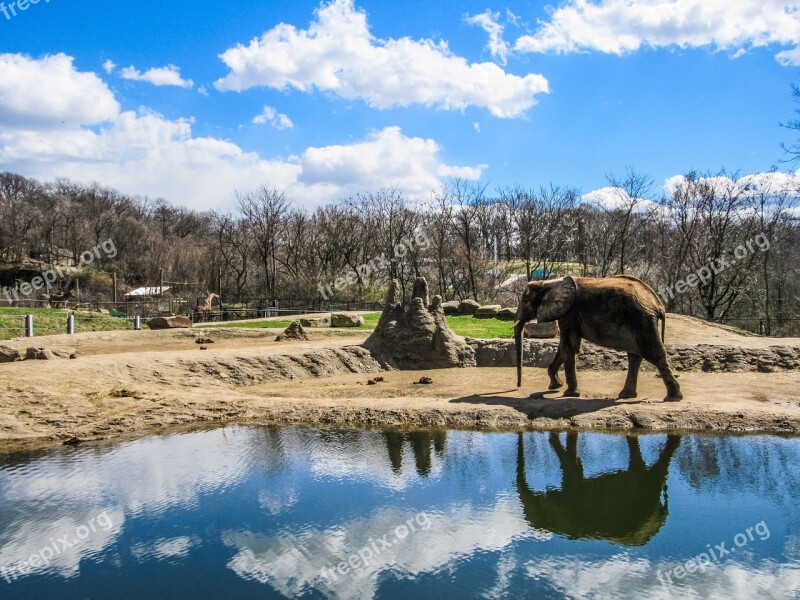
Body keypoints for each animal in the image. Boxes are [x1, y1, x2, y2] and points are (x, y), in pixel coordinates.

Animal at [512, 276, 680, 404]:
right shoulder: (567, 314)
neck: (550, 283)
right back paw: (626, 395)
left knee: (654, 355)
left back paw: (673, 398)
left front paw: (569, 394)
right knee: (635, 356)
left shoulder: (569, 313)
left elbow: (568, 346)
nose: (518, 387)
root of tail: (658, 304)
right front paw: (555, 386)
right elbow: (565, 346)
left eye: (525, 301)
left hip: (642, 321)